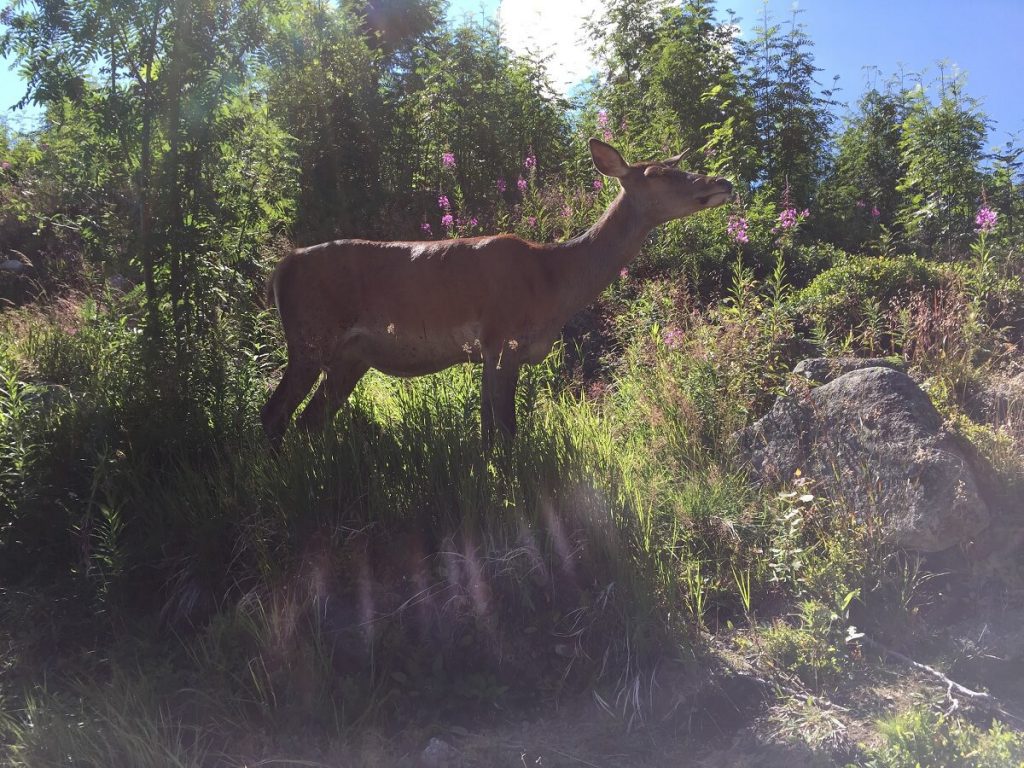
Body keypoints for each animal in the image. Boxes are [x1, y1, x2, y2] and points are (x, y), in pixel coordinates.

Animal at [260, 139, 733, 450]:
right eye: (659, 173)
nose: (724, 181)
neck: (554, 282)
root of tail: (281, 269)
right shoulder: (502, 338)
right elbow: (504, 433)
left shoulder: (495, 351)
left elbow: (490, 430)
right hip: (310, 336)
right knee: (274, 413)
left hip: (350, 358)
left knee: (308, 420)